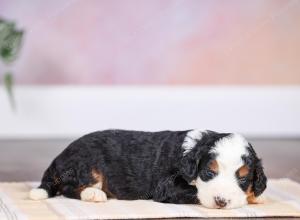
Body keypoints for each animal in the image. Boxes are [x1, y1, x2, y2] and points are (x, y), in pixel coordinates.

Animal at [28, 130, 268, 209]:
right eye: (209, 173)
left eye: (243, 179)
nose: (221, 202)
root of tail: (59, 157)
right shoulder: (167, 187)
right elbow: (195, 191)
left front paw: (255, 196)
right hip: (86, 165)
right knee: (69, 188)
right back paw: (93, 194)